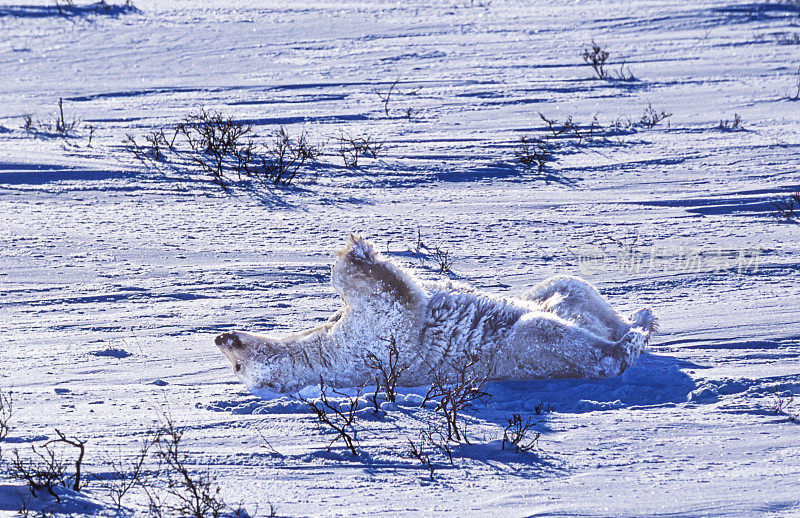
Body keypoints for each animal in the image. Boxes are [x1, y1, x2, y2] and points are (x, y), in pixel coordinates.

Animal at [216, 234, 652, 392]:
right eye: (237, 367)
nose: (222, 337)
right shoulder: (366, 346)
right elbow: (395, 300)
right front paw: (355, 252)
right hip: (525, 350)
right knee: (552, 336)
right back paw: (630, 340)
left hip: (557, 298)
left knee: (566, 288)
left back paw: (639, 318)